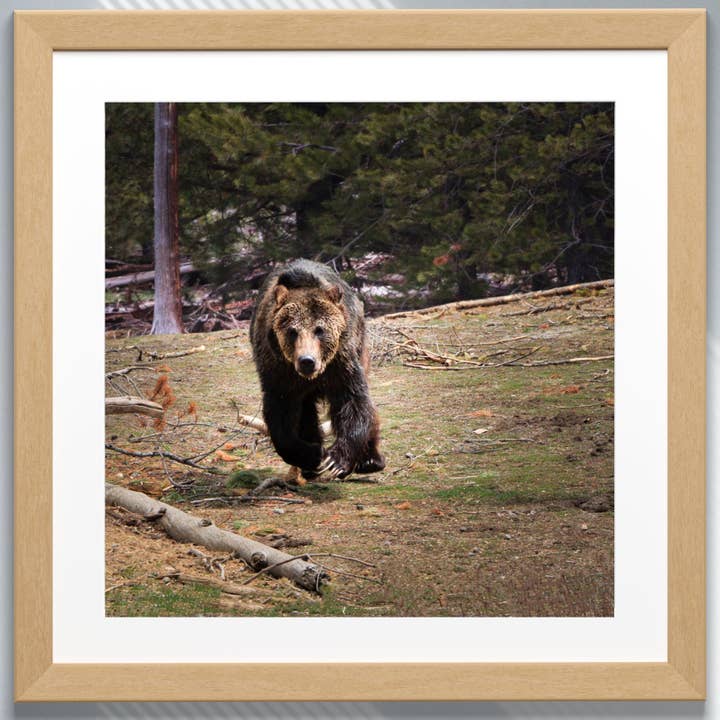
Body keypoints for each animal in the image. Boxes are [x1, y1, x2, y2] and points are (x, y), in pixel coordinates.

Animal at [250, 259, 386, 480]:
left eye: (319, 330)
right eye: (292, 331)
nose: (307, 361)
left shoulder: (342, 364)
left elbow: (353, 402)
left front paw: (336, 461)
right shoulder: (279, 372)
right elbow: (280, 416)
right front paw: (312, 454)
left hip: (360, 342)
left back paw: (371, 460)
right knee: (306, 412)